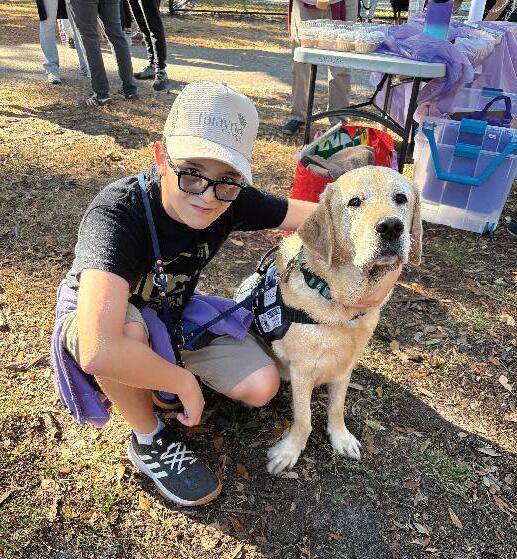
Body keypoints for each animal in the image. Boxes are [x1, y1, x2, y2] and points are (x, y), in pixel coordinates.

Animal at [264, 166, 422, 474]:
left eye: (401, 198)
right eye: (355, 202)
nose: (391, 227)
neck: (338, 304)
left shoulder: (344, 367)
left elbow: (336, 408)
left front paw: (340, 437)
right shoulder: (302, 371)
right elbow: (304, 420)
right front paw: (289, 451)